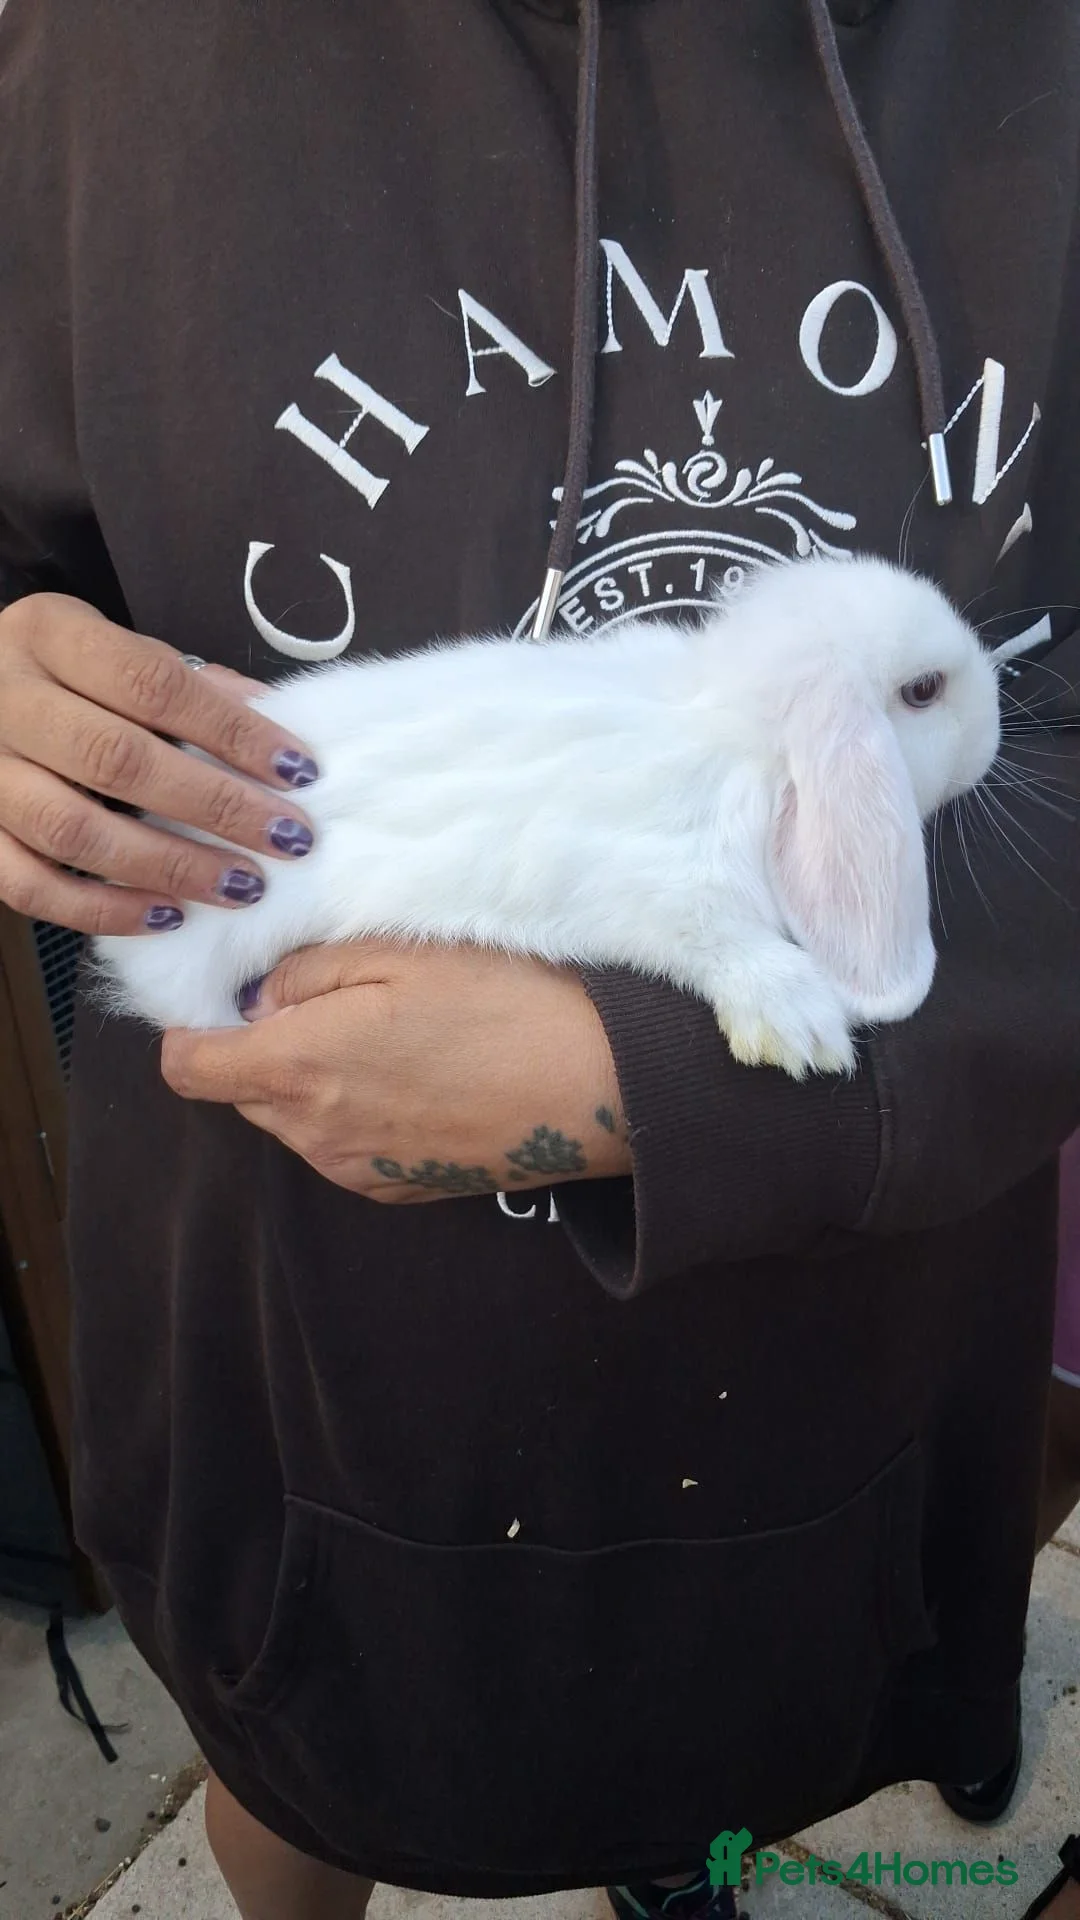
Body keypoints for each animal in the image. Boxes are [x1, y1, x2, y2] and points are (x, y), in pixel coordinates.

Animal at [92, 554, 1002, 1077]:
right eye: (924, 691)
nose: (993, 737)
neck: (733, 728)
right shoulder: (658, 884)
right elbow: (717, 943)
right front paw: (800, 1025)